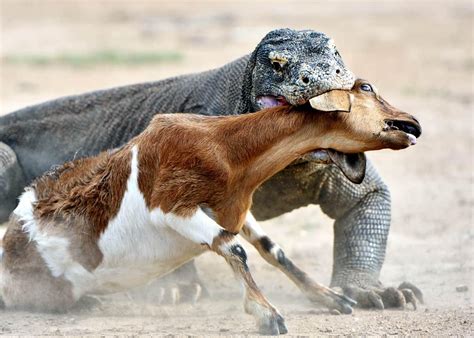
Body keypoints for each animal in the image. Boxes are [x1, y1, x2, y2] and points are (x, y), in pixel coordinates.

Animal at [0, 79, 422, 336]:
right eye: (366, 87)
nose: (412, 123)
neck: (225, 147)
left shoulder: (237, 211)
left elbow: (273, 251)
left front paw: (331, 298)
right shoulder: (173, 208)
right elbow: (232, 248)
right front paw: (268, 315)